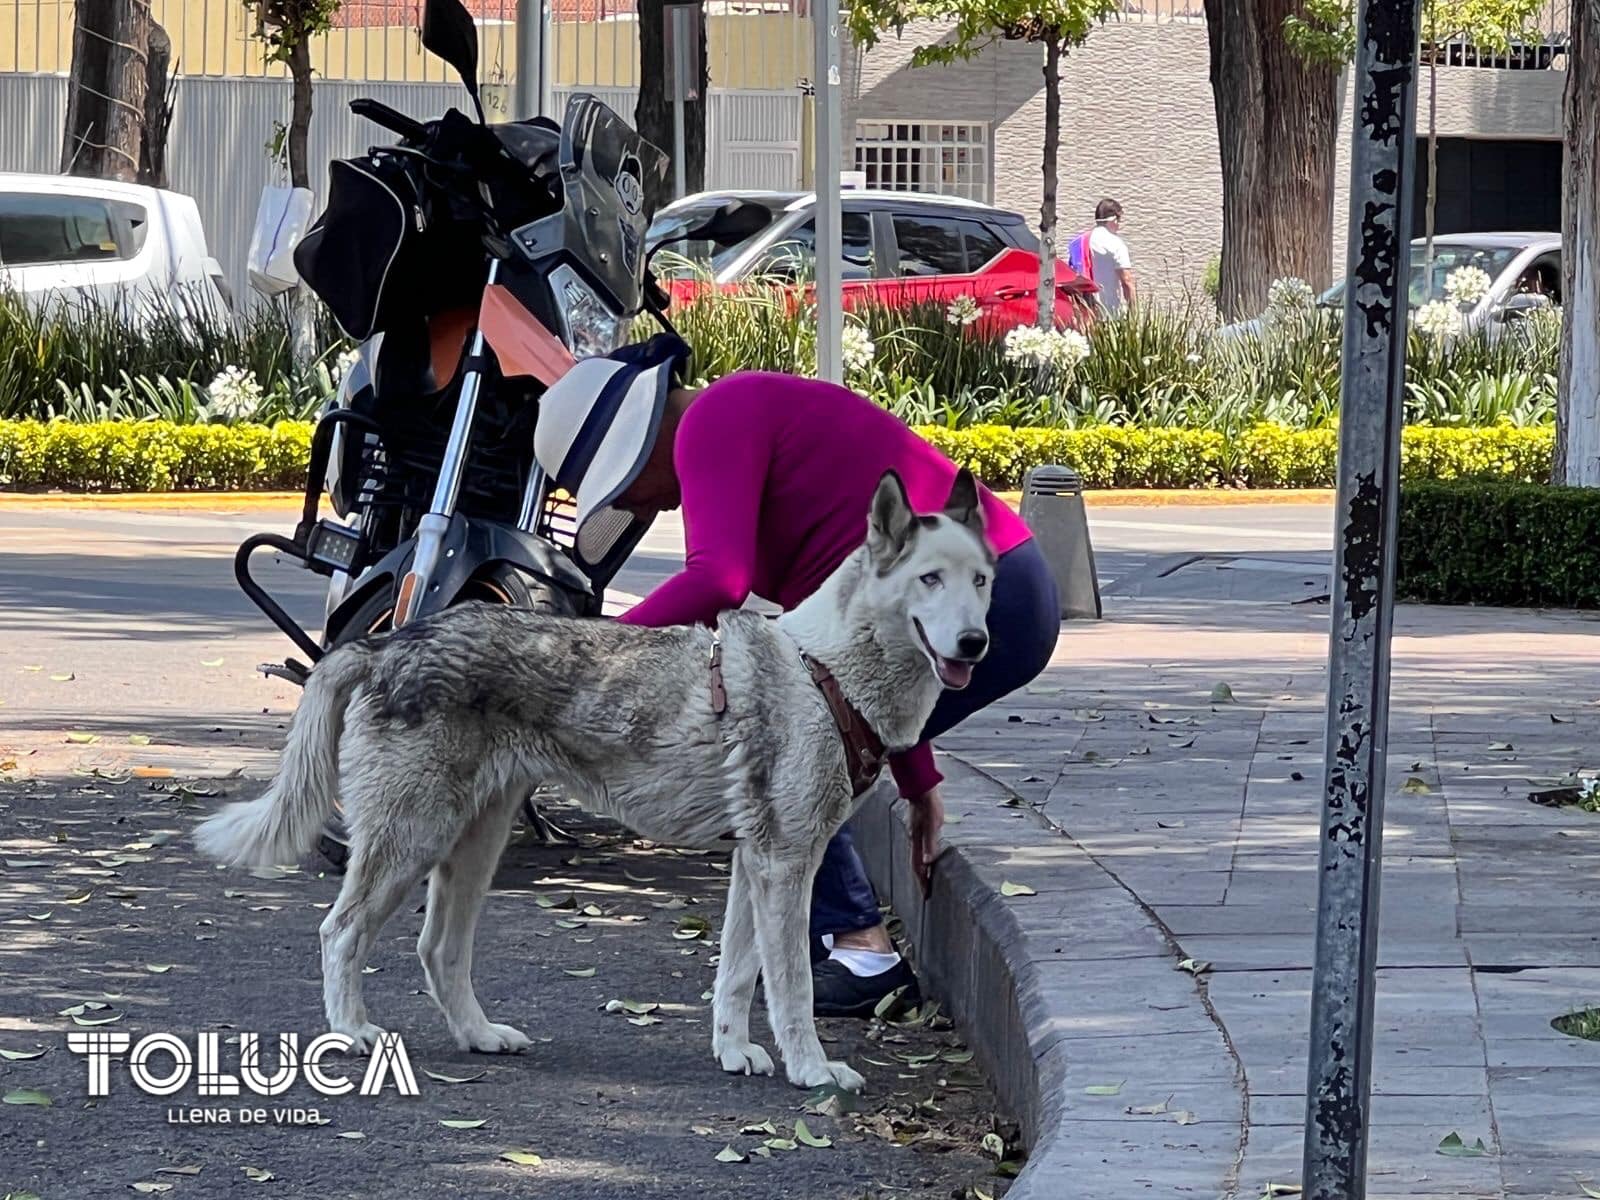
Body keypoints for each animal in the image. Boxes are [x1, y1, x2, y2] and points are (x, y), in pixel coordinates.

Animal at [193, 470, 992, 1088]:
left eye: (980, 581)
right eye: (929, 579)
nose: (976, 642)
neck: (824, 670)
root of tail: (388, 642)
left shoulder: (756, 867)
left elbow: (738, 976)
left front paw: (734, 1051)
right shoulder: (785, 865)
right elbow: (790, 986)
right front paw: (812, 1070)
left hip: (470, 847)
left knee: (438, 950)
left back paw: (480, 1036)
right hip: (411, 841)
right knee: (341, 932)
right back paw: (352, 1034)